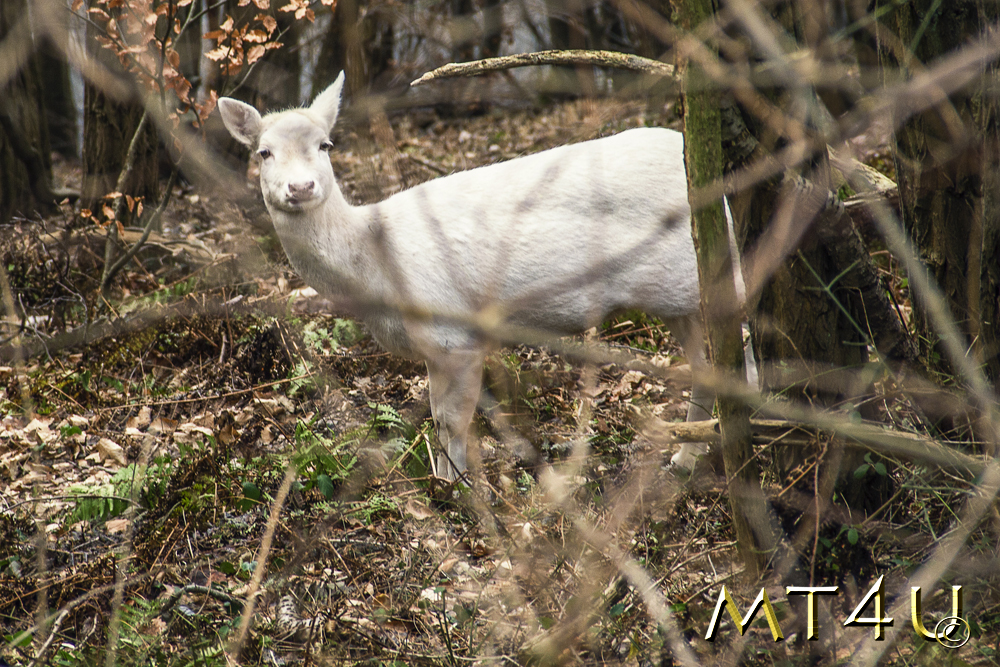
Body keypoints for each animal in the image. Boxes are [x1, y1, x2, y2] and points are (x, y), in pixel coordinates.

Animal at [221, 72, 744, 480]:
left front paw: (459, 491)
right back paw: (685, 458)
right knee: (706, 367)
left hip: (712, 276)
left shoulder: (456, 335)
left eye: (325, 145)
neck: (370, 263)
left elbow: (453, 421)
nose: (301, 186)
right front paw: (443, 480)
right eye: (263, 152)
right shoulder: (433, 348)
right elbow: (436, 417)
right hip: (679, 296)